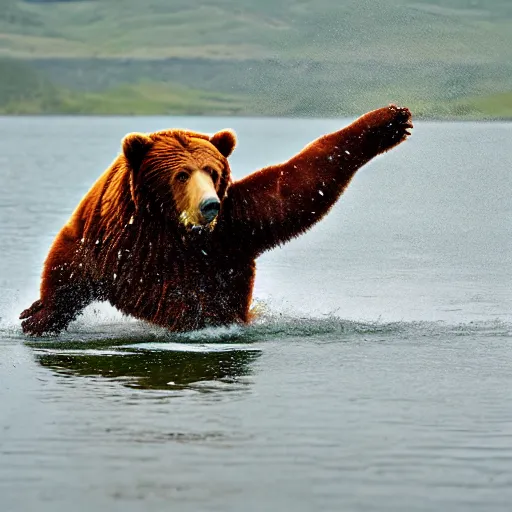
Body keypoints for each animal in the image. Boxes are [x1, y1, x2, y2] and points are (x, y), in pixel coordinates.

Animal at [19, 104, 412, 336]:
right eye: (181, 174)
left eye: (211, 170)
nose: (209, 205)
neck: (172, 228)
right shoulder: (112, 240)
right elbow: (68, 263)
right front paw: (35, 316)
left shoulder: (233, 228)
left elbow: (293, 187)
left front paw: (390, 120)